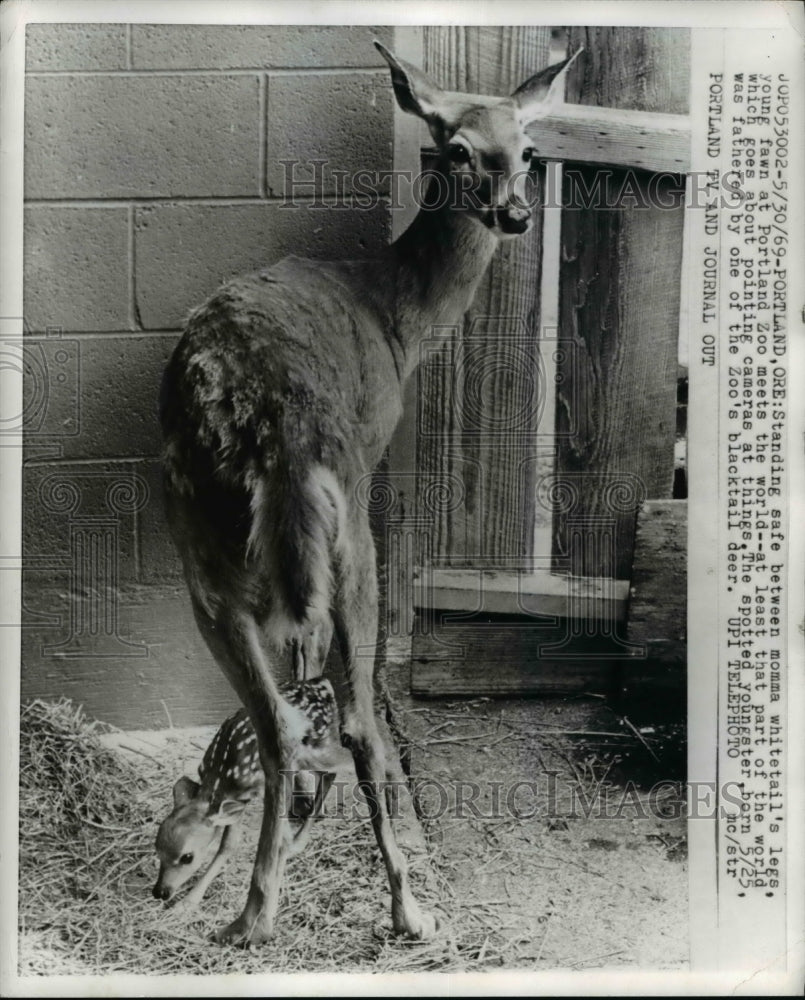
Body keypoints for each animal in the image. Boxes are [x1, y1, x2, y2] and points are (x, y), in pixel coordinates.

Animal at [160, 39, 580, 944]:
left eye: (527, 150)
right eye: (456, 149)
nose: (515, 215)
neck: (396, 316)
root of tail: (266, 424)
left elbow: (298, 677)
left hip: (199, 552)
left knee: (277, 721)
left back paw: (252, 912)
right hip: (350, 528)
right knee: (359, 720)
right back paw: (406, 909)